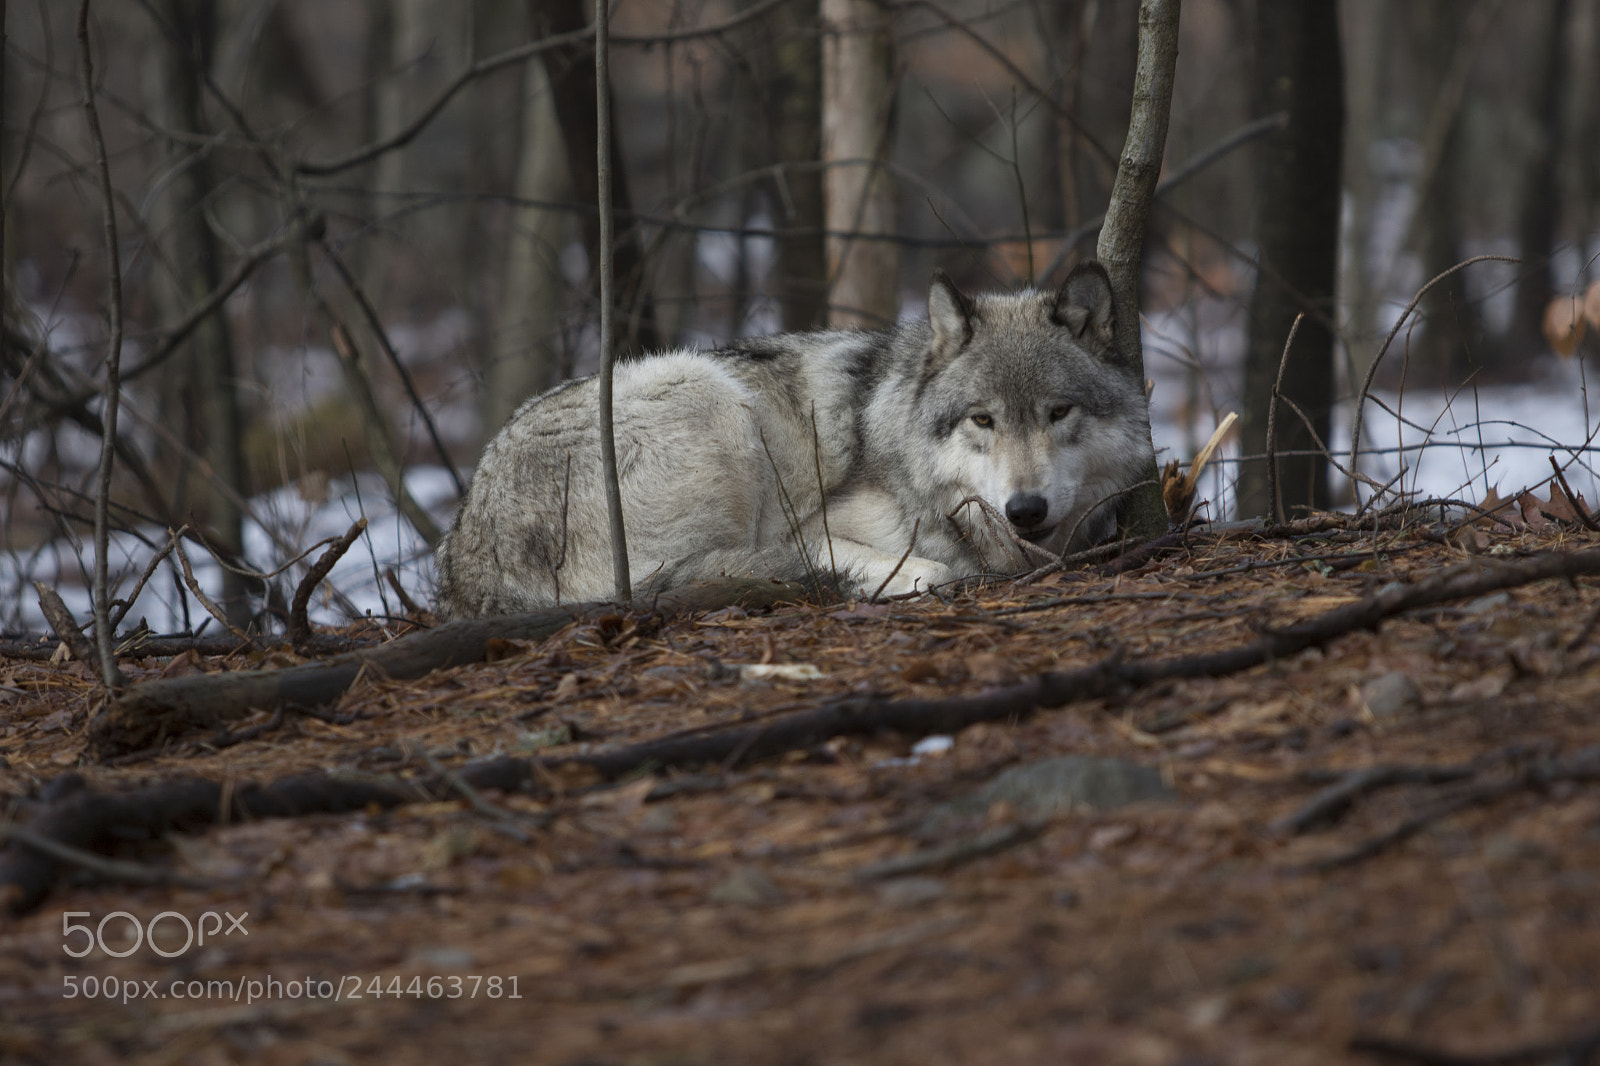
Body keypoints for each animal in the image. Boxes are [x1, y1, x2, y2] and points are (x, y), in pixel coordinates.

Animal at [435, 262, 1153, 618]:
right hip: (709, 395)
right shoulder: (811, 525)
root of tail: (465, 566)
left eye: (1058, 412)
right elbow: (920, 562)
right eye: (983, 420)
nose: (1025, 509)